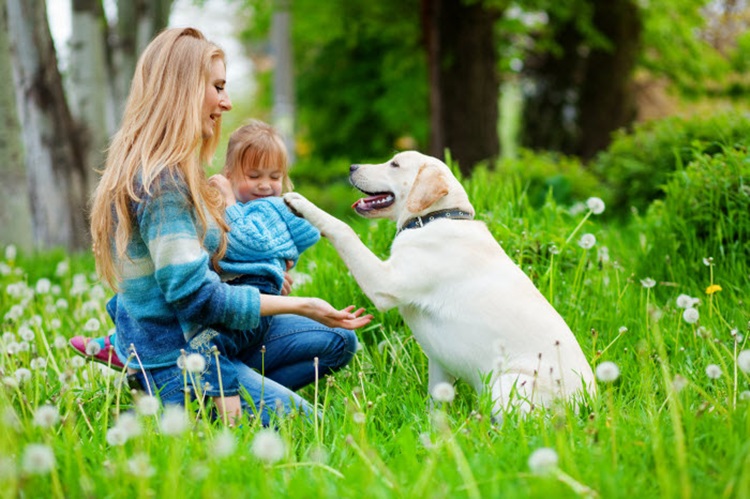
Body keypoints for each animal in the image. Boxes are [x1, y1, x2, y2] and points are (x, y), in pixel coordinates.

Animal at [284, 151, 596, 414]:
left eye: (394, 164)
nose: (352, 167)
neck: (434, 219)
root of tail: (588, 403)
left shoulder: (384, 282)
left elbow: (343, 228)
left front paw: (301, 204)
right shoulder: (439, 361)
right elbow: (436, 402)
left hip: (506, 383)